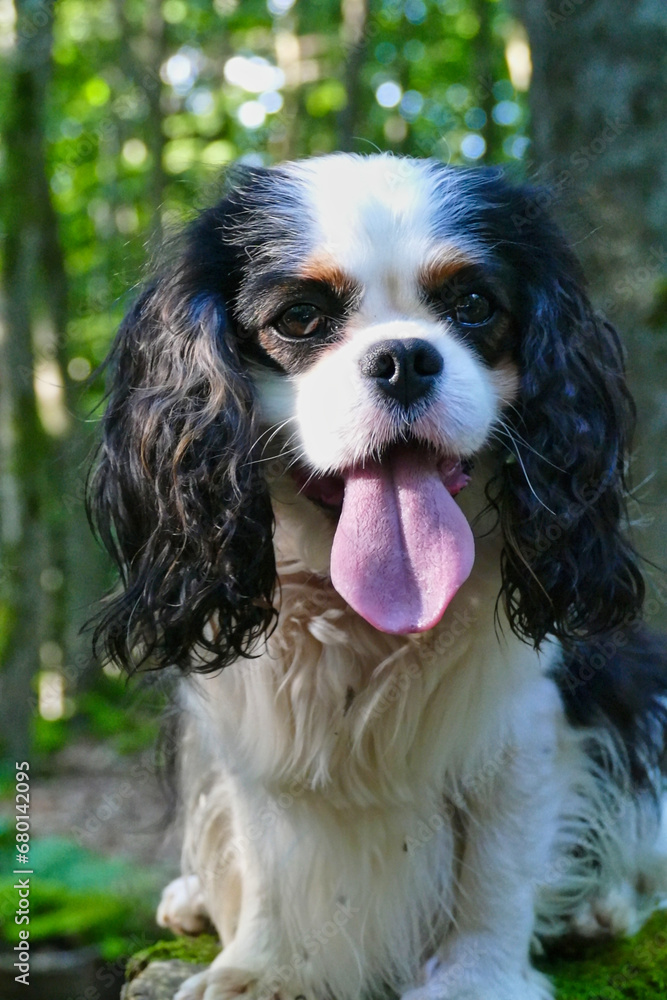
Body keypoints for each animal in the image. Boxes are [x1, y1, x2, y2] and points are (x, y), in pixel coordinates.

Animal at [89, 154, 667, 1000]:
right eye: (300, 318)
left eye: (472, 305)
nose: (404, 358)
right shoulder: (250, 724)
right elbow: (265, 847)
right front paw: (261, 968)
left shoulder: (524, 722)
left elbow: (498, 861)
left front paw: (476, 979)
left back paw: (603, 907)